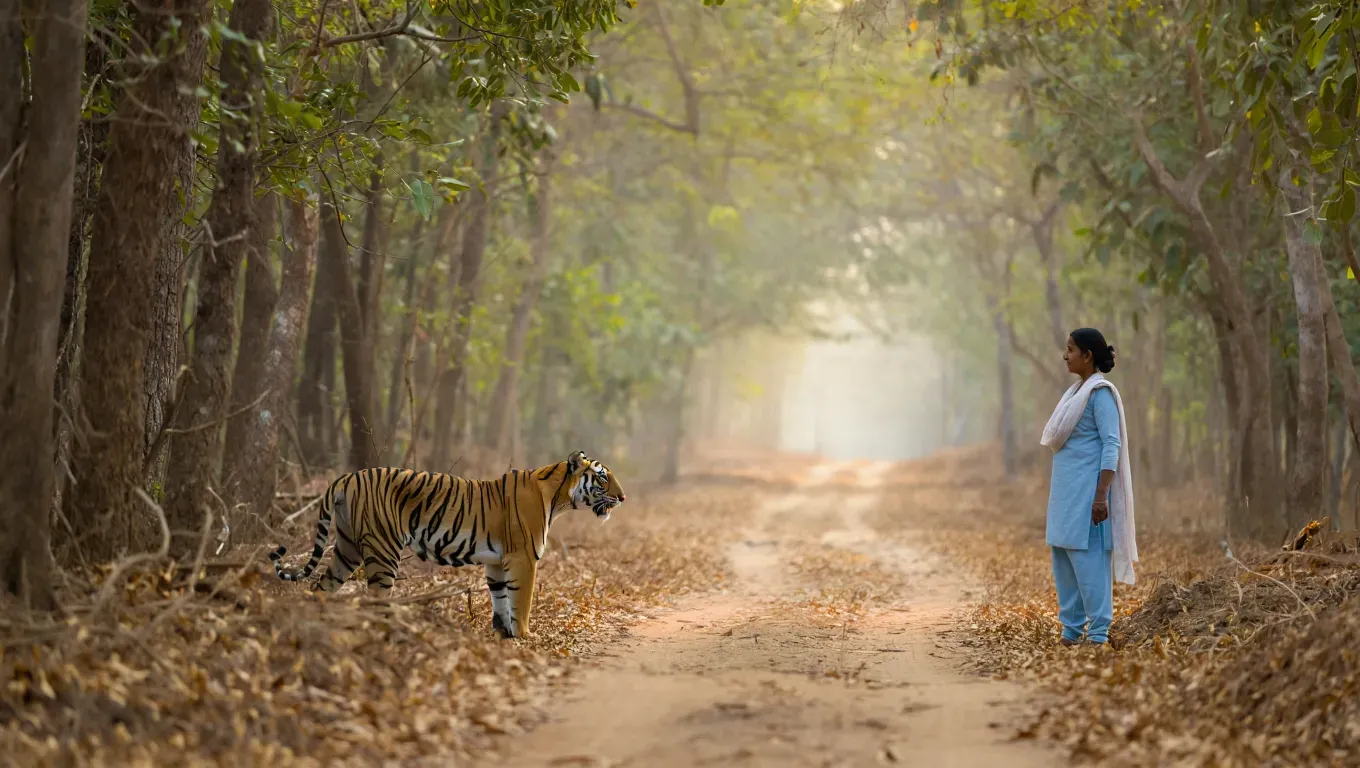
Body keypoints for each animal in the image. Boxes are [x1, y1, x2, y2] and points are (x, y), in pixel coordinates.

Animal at [270, 450, 626, 639]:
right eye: (602, 477)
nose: (623, 498)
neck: (559, 497)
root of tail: (348, 477)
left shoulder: (496, 562)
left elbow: (501, 601)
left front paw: (503, 635)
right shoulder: (523, 558)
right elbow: (521, 601)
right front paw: (526, 636)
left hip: (347, 548)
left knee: (319, 587)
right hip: (383, 550)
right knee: (376, 597)